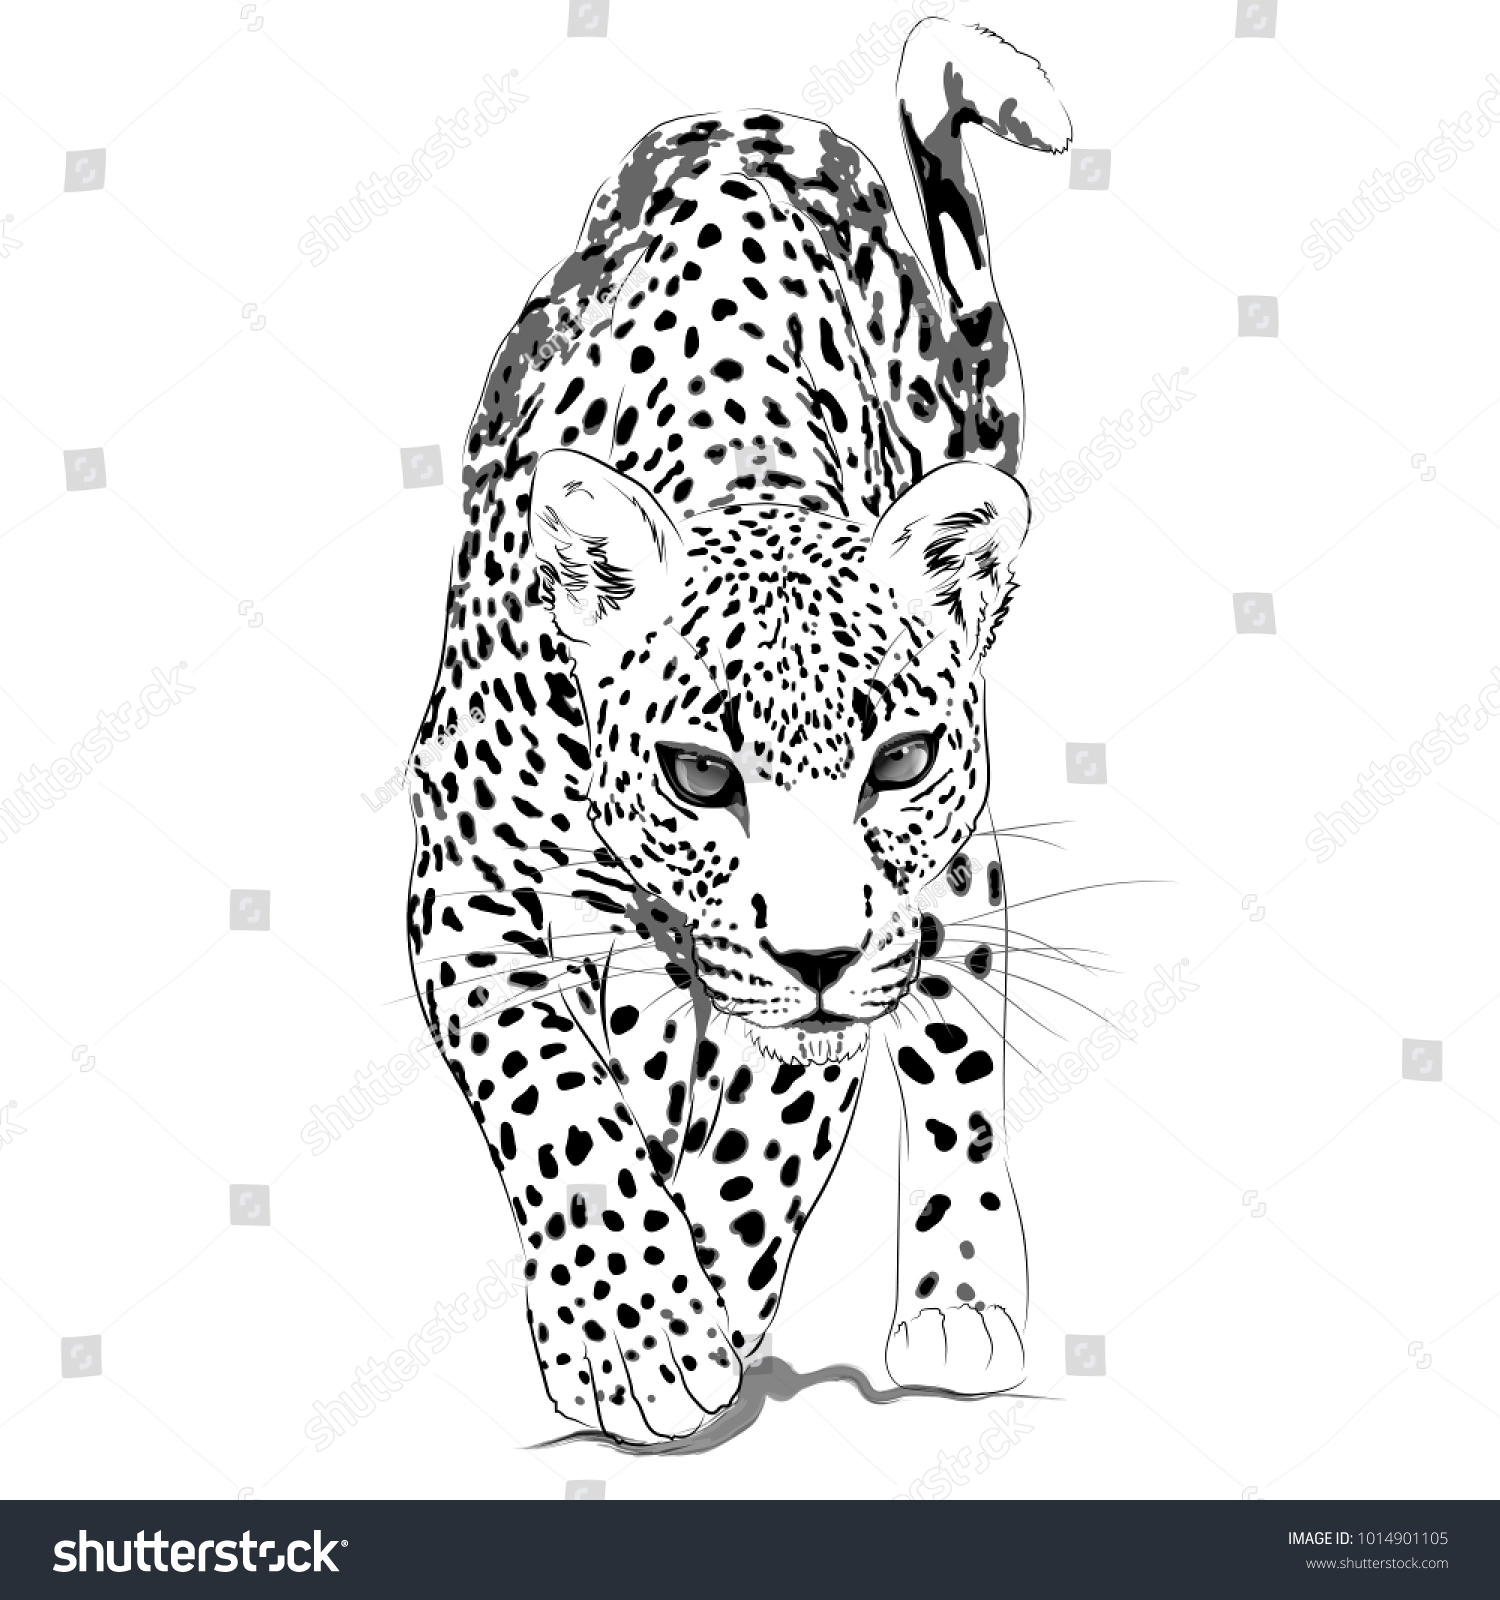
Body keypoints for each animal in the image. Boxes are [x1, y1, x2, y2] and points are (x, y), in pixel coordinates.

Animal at [406, 17, 1071, 1444]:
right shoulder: (465, 884)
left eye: (900, 760)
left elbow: (770, 1129)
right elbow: (555, 1095)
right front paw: (640, 1331)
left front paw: (692, 1312)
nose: (817, 954)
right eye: (700, 773)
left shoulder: (867, 941)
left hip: (958, 885)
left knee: (953, 1051)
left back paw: (958, 1299)